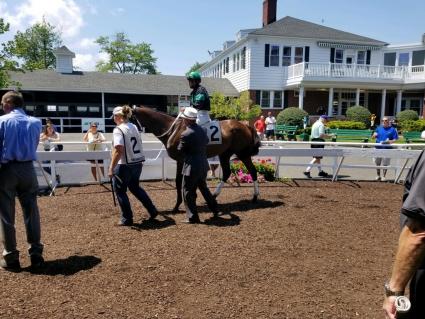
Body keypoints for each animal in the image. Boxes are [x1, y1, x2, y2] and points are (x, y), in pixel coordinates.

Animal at [132, 106, 260, 214]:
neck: (172, 129)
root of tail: (245, 125)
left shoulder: (181, 160)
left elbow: (178, 181)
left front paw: (177, 206)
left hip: (242, 154)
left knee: (253, 171)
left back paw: (255, 196)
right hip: (225, 154)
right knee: (227, 173)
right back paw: (214, 195)